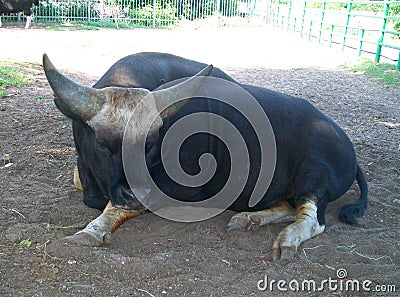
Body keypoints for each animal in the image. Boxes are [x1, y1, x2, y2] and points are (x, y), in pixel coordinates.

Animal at [43, 52, 368, 260]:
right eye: (102, 144)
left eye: (150, 144)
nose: (134, 192)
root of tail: (348, 147)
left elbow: (114, 207)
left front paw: (92, 230)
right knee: (288, 206)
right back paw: (248, 219)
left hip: (314, 175)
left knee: (313, 219)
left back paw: (286, 239)